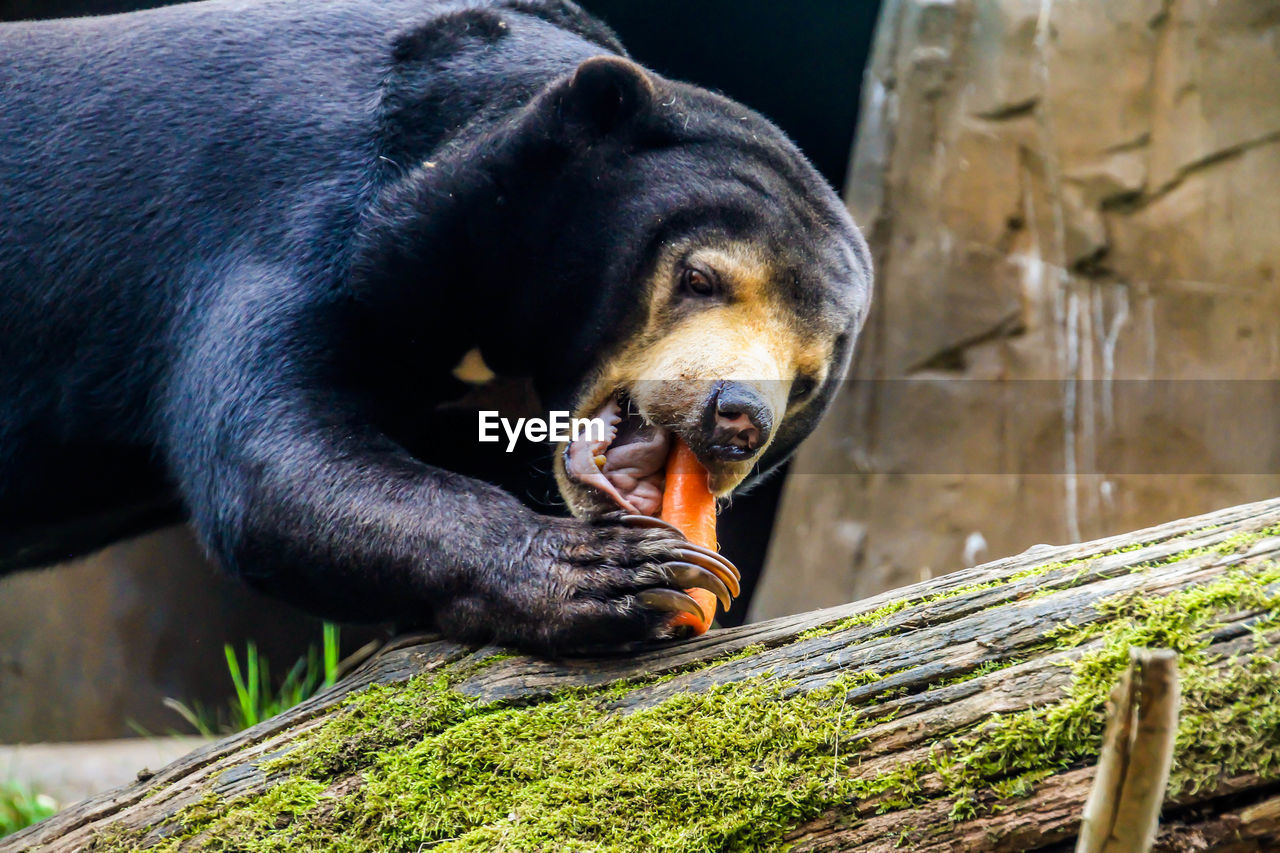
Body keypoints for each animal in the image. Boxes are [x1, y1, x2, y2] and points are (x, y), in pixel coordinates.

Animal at [0, 0, 870, 650]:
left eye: (805, 380)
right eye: (699, 278)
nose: (737, 417)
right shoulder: (281, 223)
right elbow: (271, 463)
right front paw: (631, 575)